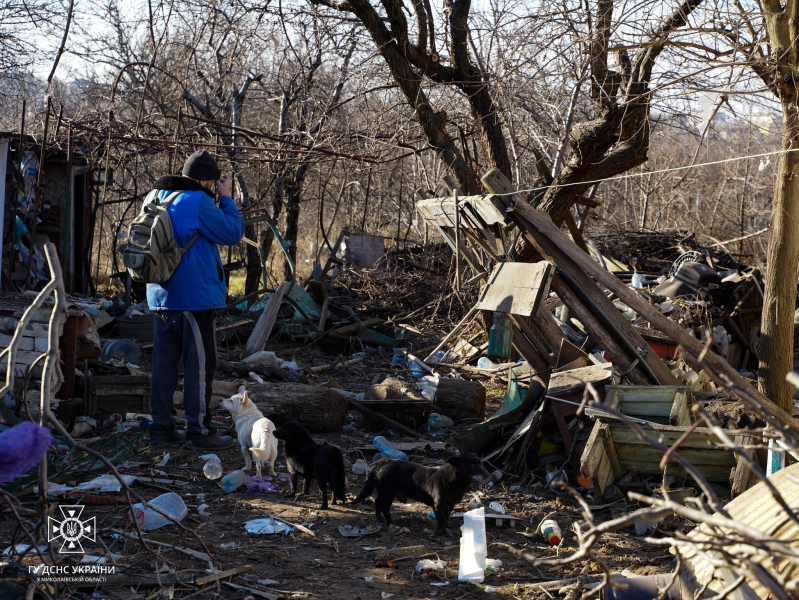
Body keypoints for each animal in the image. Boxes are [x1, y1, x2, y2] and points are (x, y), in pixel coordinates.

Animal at [354, 454, 490, 536]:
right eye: (472, 465)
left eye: (480, 463)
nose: (487, 475)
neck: (455, 481)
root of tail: (381, 464)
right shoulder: (438, 506)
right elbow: (441, 519)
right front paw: (439, 533)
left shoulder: (450, 505)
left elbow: (445, 518)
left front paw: (445, 529)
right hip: (388, 494)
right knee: (385, 509)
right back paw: (391, 523)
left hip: (384, 492)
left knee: (377, 501)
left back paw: (379, 518)